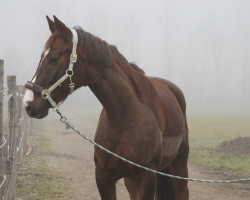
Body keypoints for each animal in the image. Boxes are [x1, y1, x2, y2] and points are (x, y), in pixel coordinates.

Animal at [23, 16, 188, 200]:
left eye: (53, 58)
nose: (28, 103)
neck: (125, 118)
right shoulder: (104, 177)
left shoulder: (147, 177)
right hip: (131, 181)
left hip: (179, 168)